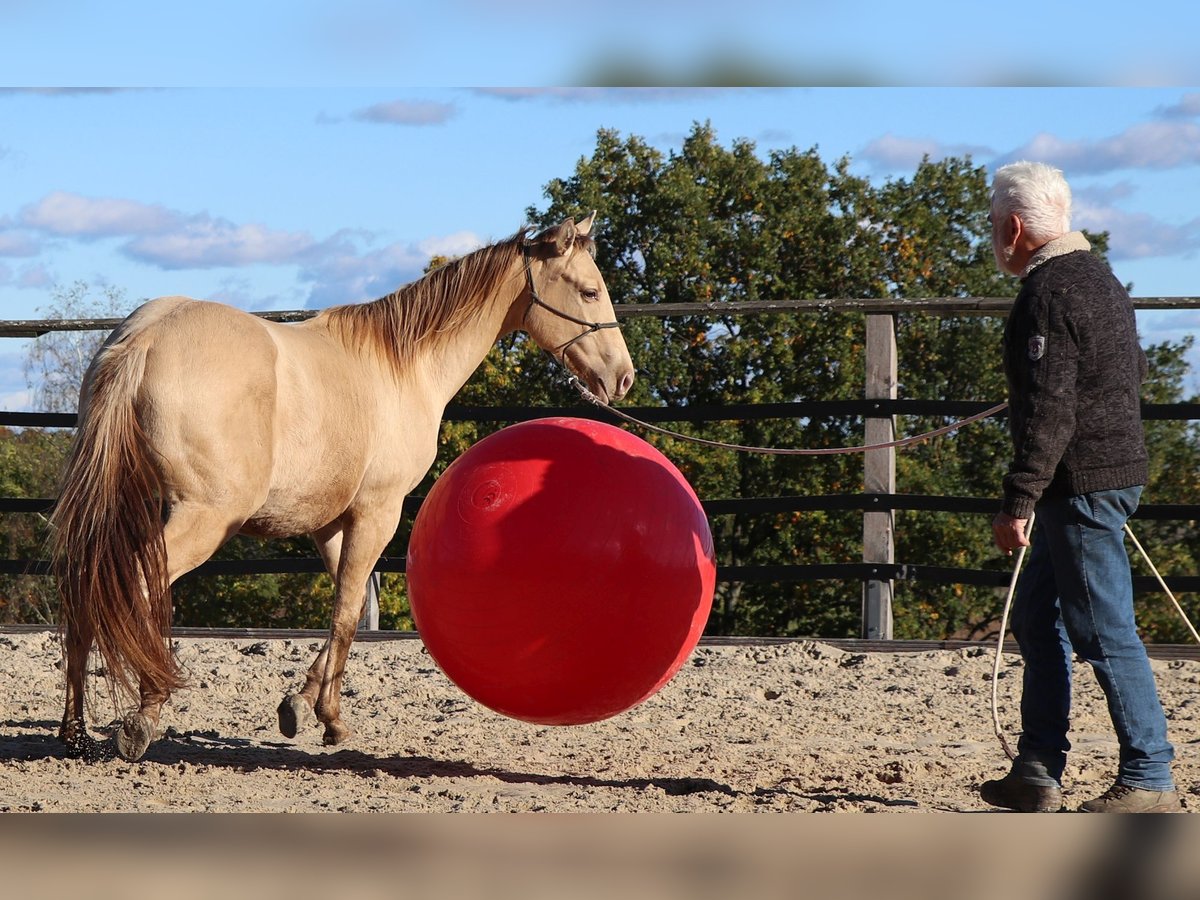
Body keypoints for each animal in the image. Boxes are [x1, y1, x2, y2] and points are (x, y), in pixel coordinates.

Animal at [52, 213, 635, 762]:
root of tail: (146, 338)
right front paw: (321, 712)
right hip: (204, 519)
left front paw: (308, 708)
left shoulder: (332, 524)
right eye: (589, 291)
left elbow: (344, 609)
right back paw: (142, 718)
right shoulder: (378, 513)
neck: (402, 366)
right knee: (138, 589)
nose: (623, 377)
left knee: (85, 591)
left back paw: (74, 733)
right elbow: (349, 614)